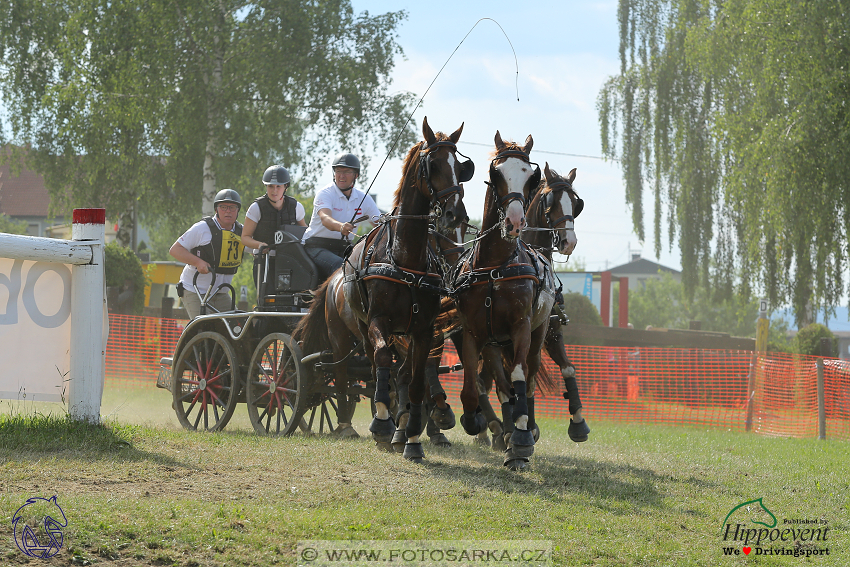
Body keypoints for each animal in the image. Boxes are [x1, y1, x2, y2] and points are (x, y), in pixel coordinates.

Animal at [294, 117, 470, 464]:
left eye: (461, 166)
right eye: (433, 164)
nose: (456, 214)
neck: (405, 258)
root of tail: (332, 279)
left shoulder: (423, 330)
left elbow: (414, 380)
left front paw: (412, 439)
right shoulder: (379, 321)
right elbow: (383, 362)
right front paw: (384, 424)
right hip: (345, 335)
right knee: (350, 372)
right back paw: (352, 424)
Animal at [448, 132, 552, 470]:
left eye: (531, 176)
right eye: (496, 174)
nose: (515, 222)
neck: (494, 267)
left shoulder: (521, 326)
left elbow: (519, 376)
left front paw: (520, 437)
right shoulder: (473, 332)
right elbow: (471, 383)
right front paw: (476, 422)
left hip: (537, 333)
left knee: (526, 379)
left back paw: (524, 430)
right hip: (496, 343)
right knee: (503, 384)